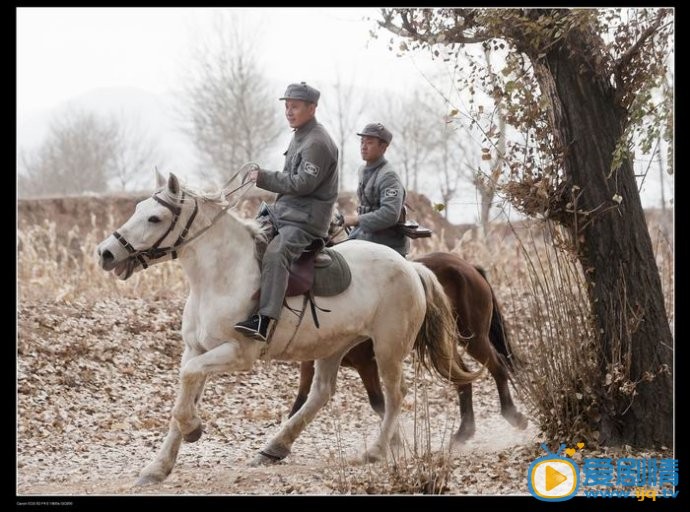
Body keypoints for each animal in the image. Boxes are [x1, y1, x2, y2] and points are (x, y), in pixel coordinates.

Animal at [95, 172, 478, 484]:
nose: (105, 253)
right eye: (138, 208)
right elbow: (182, 396)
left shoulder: (236, 353)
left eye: (154, 217)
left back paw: (374, 450)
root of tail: (410, 266)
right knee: (321, 393)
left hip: (388, 349)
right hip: (333, 347)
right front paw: (158, 467)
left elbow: (187, 384)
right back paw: (275, 447)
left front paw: (193, 429)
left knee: (395, 395)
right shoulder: (197, 351)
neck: (220, 276)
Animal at [284, 250, 528, 442]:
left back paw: (513, 416)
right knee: (463, 376)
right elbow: (300, 400)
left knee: (497, 366)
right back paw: (463, 433)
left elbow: (379, 403)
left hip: (473, 339)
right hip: (446, 344)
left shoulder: (367, 365)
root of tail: (470, 268)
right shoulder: (311, 364)